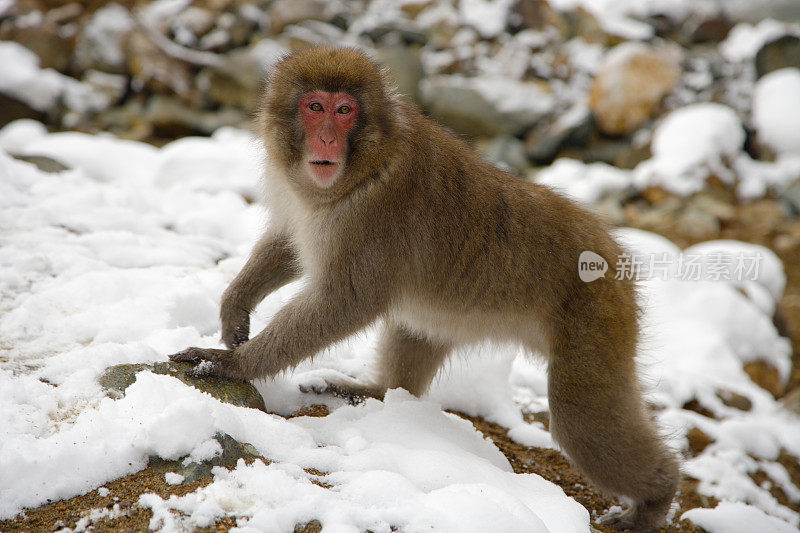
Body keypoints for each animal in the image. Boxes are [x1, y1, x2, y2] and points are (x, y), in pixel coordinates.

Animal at [172, 47, 680, 528]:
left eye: (344, 110)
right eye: (315, 106)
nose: (327, 138)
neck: (365, 166)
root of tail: (611, 248)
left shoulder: (373, 214)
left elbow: (348, 301)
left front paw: (237, 363)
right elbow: (289, 241)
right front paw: (236, 305)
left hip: (596, 315)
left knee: (582, 421)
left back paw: (656, 499)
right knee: (416, 328)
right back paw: (376, 392)